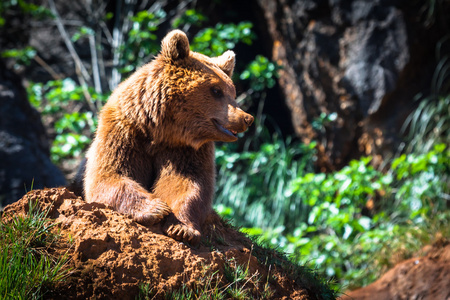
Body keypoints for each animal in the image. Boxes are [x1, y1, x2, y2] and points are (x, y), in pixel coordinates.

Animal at [82, 29, 253, 246]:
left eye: (233, 91)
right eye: (216, 90)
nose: (247, 118)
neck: (161, 129)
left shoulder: (186, 149)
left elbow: (187, 183)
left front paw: (182, 228)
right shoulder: (124, 132)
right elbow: (109, 175)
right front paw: (156, 208)